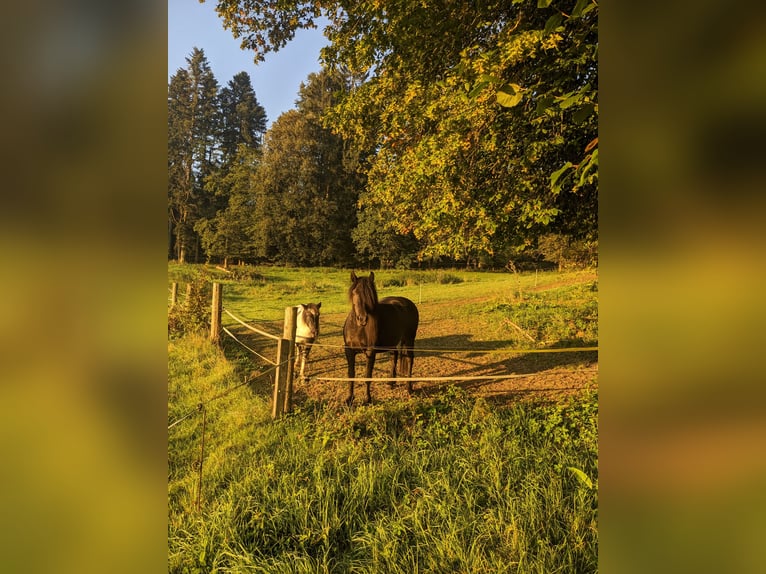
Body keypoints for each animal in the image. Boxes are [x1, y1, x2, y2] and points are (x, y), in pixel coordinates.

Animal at [342, 271, 419, 405]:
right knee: (395, 356)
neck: (358, 329)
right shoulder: (349, 351)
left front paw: (367, 399)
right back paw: (390, 383)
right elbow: (351, 374)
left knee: (410, 359)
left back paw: (409, 388)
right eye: (355, 292)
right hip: (394, 343)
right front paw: (349, 399)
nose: (362, 319)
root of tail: (408, 303)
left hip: (409, 340)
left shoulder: (370, 352)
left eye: (370, 294)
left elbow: (368, 375)